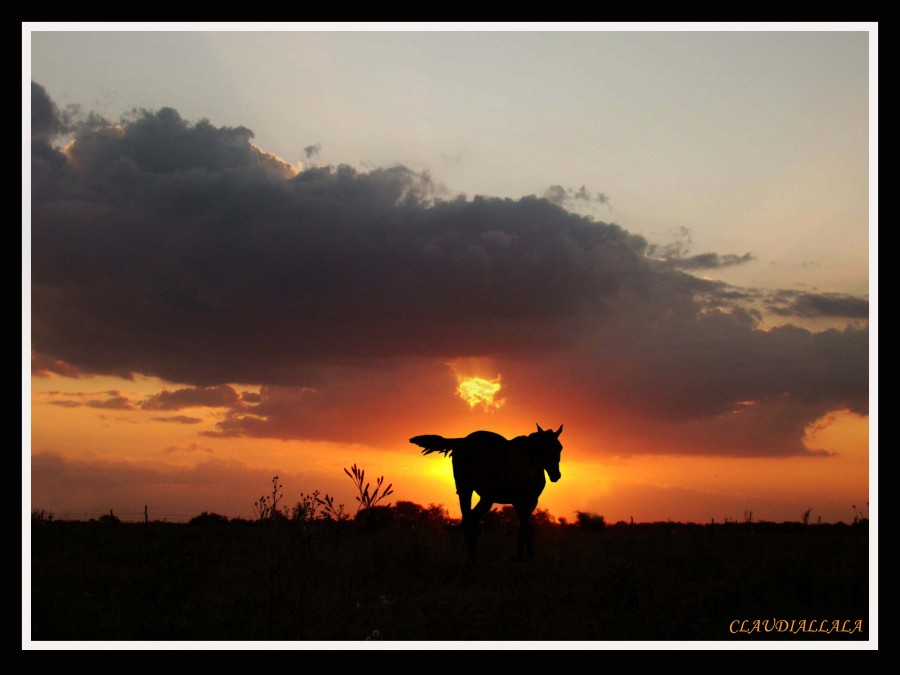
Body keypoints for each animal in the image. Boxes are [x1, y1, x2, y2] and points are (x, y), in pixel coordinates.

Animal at [410, 422, 564, 560]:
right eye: (558, 448)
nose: (556, 475)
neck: (532, 456)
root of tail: (465, 441)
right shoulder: (529, 501)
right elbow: (526, 527)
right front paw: (527, 555)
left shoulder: (517, 502)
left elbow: (524, 526)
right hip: (487, 497)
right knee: (473, 518)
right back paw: (474, 555)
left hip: (465, 489)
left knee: (467, 519)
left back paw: (472, 557)